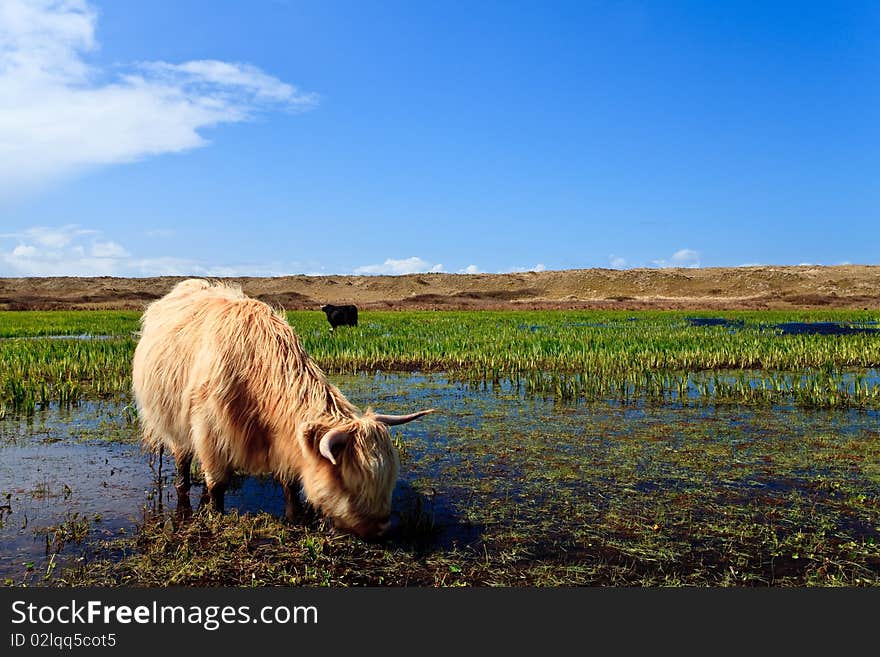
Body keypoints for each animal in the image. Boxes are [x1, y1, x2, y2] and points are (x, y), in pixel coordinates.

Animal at [131, 278, 434, 540]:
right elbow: (217, 484)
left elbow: (288, 481)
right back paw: (183, 484)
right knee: (182, 458)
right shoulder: (210, 433)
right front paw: (216, 516)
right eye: (351, 482)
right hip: (172, 422)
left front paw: (295, 513)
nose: (382, 528)